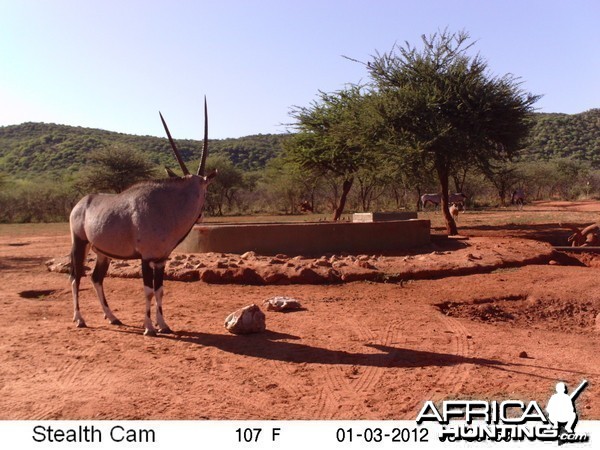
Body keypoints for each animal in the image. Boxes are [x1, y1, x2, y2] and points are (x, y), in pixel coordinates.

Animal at [69, 99, 214, 338]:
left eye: (204, 187)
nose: (201, 214)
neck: (167, 206)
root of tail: (81, 203)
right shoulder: (146, 258)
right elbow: (147, 291)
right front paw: (149, 327)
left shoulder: (161, 260)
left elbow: (160, 290)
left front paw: (163, 324)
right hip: (80, 243)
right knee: (75, 277)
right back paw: (79, 319)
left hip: (102, 253)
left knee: (96, 278)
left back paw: (113, 317)